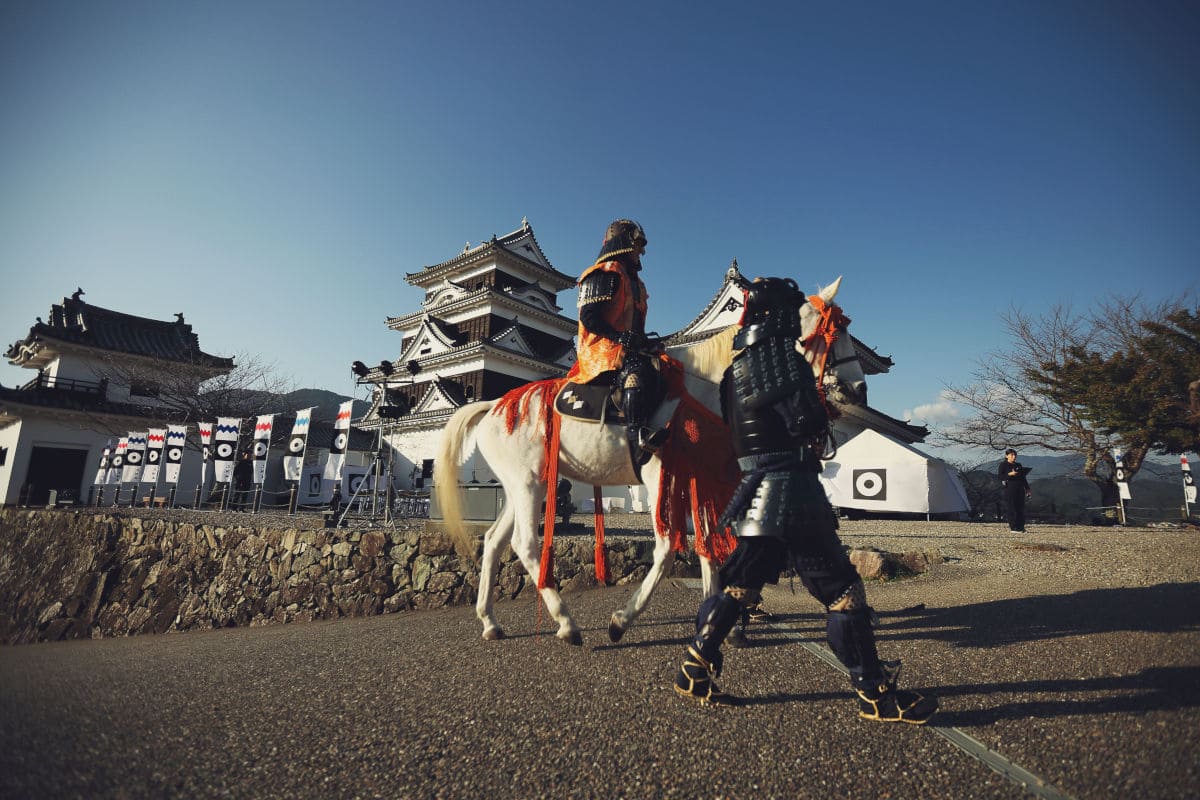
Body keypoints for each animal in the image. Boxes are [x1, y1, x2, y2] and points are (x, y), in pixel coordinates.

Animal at [432, 275, 864, 642]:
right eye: (835, 331)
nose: (856, 389)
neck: (699, 389)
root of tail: (493, 405)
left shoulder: (695, 477)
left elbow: (706, 545)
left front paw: (716, 621)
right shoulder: (660, 475)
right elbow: (668, 548)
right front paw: (622, 620)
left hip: (527, 482)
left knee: (494, 541)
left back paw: (490, 621)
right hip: (527, 484)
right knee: (525, 543)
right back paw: (566, 623)